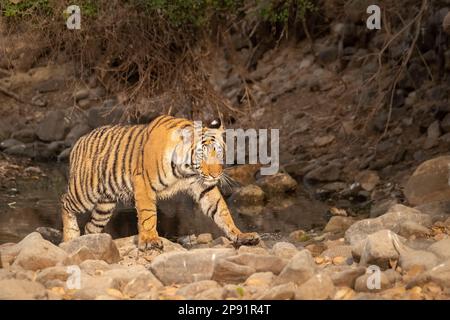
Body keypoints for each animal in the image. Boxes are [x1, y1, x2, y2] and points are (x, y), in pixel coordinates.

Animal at [61, 114, 262, 251]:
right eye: (202, 154)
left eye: (219, 152)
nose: (216, 175)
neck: (187, 170)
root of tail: (79, 140)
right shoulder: (143, 184)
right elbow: (148, 215)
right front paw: (150, 240)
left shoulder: (204, 186)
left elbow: (222, 211)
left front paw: (241, 235)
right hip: (85, 191)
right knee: (64, 201)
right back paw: (70, 237)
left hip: (105, 204)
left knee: (90, 227)